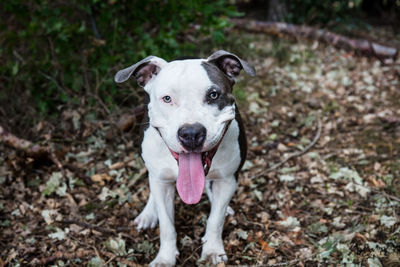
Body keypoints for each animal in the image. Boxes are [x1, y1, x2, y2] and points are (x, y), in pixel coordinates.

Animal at [114, 50, 255, 266]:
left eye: (213, 94)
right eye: (167, 98)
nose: (191, 133)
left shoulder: (227, 180)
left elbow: (216, 220)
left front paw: (212, 250)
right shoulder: (162, 183)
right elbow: (166, 225)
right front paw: (165, 257)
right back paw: (148, 214)